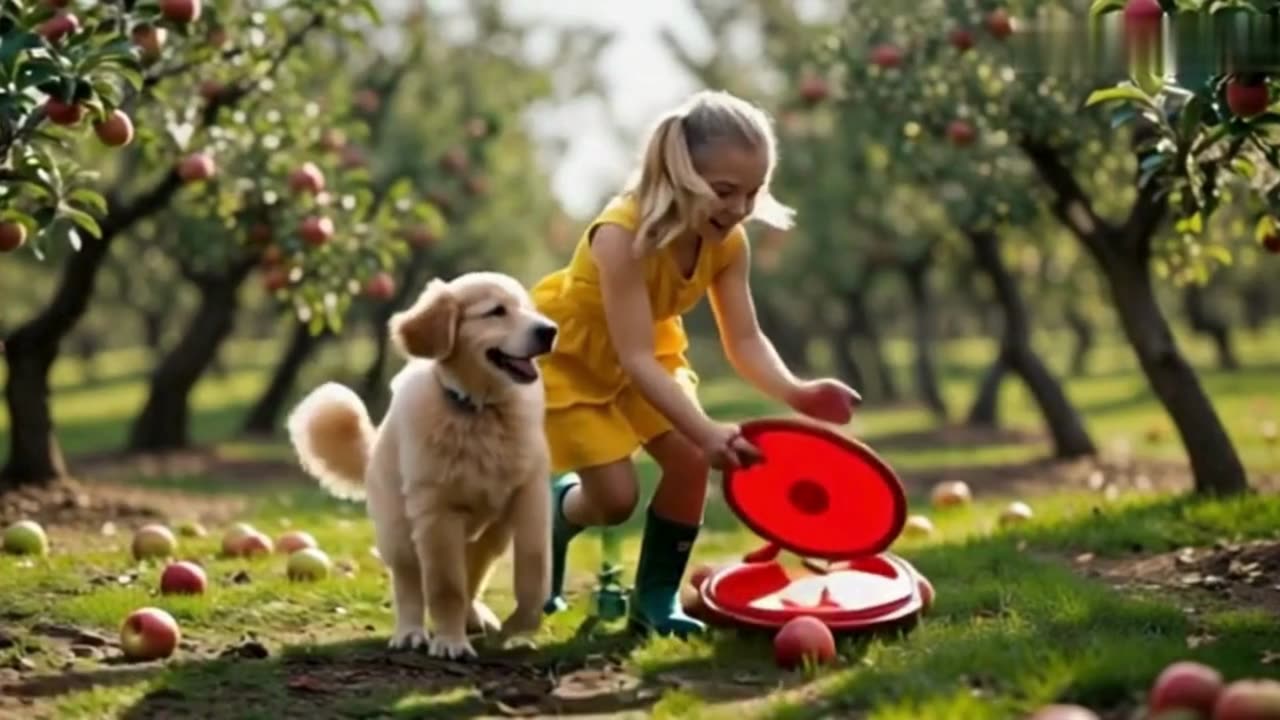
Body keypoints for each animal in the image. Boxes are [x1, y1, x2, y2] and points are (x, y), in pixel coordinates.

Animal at [288, 270, 558, 655]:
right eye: (496, 311)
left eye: (528, 308)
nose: (550, 331)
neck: (477, 411)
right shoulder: (436, 514)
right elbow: (445, 586)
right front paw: (450, 642)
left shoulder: (531, 495)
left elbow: (534, 572)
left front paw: (519, 627)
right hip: (399, 531)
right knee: (410, 585)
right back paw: (411, 632)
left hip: (490, 535)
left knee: (474, 574)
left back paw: (473, 616)